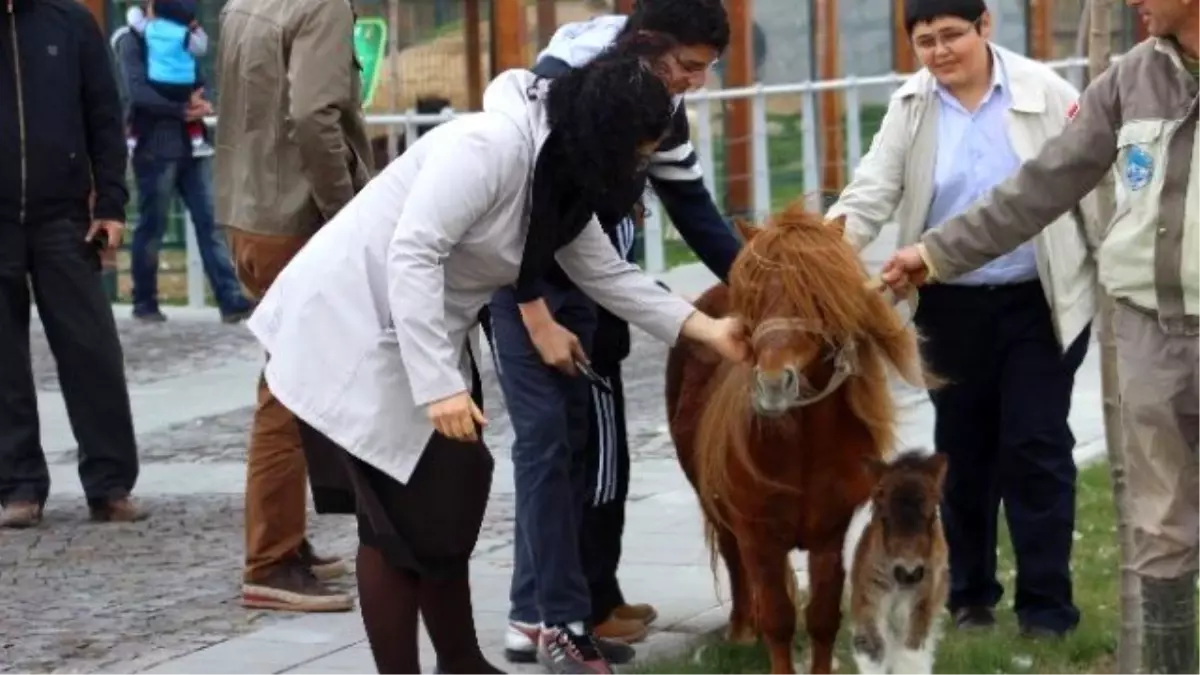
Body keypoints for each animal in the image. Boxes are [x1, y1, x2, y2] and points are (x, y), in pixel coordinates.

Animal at [667, 201, 926, 672]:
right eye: (754, 299)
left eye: (815, 296)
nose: (773, 384)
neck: (801, 447)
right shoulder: (759, 536)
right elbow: (778, 618)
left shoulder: (830, 535)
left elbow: (822, 616)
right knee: (732, 557)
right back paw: (740, 628)